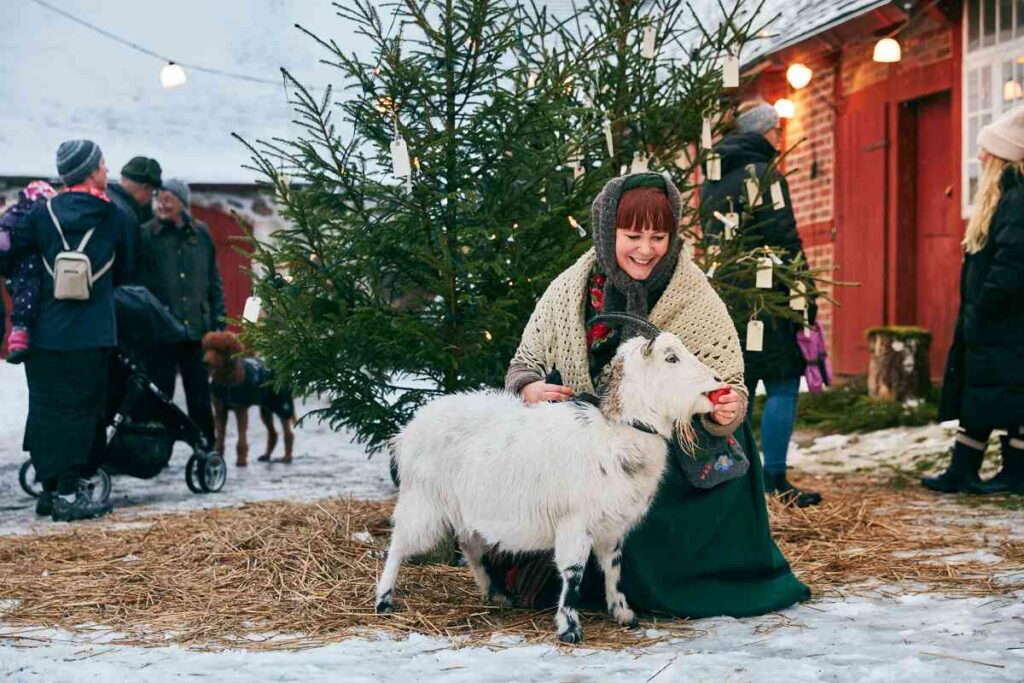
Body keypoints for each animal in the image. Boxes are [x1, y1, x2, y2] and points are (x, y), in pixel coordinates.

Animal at [200, 329, 294, 466]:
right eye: (207, 348)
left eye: (218, 350)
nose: (204, 362)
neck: (227, 380)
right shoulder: (220, 410)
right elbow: (220, 436)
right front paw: (217, 457)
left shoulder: (240, 409)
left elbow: (241, 437)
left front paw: (241, 460)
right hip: (266, 409)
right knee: (273, 433)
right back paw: (266, 455)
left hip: (281, 405)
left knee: (288, 433)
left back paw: (287, 457)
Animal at [374, 321, 720, 643]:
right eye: (671, 357)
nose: (718, 382)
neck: (616, 433)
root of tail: (405, 434)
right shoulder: (575, 522)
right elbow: (573, 573)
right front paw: (570, 628)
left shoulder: (612, 527)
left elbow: (613, 567)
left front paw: (623, 613)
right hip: (423, 500)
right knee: (399, 542)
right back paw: (383, 600)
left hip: (465, 507)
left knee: (470, 544)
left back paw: (497, 594)